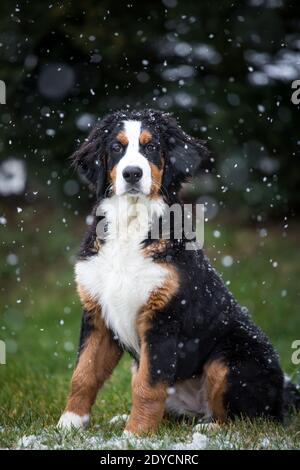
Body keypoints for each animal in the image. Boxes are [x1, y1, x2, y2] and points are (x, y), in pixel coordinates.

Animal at [57, 108, 298, 436]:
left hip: (231, 359)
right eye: (117, 147)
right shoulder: (97, 313)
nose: (132, 173)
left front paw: (134, 435)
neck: (131, 223)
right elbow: (84, 373)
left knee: (249, 417)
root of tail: (284, 395)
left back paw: (211, 429)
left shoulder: (163, 318)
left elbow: (148, 386)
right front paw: (69, 424)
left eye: (150, 147)